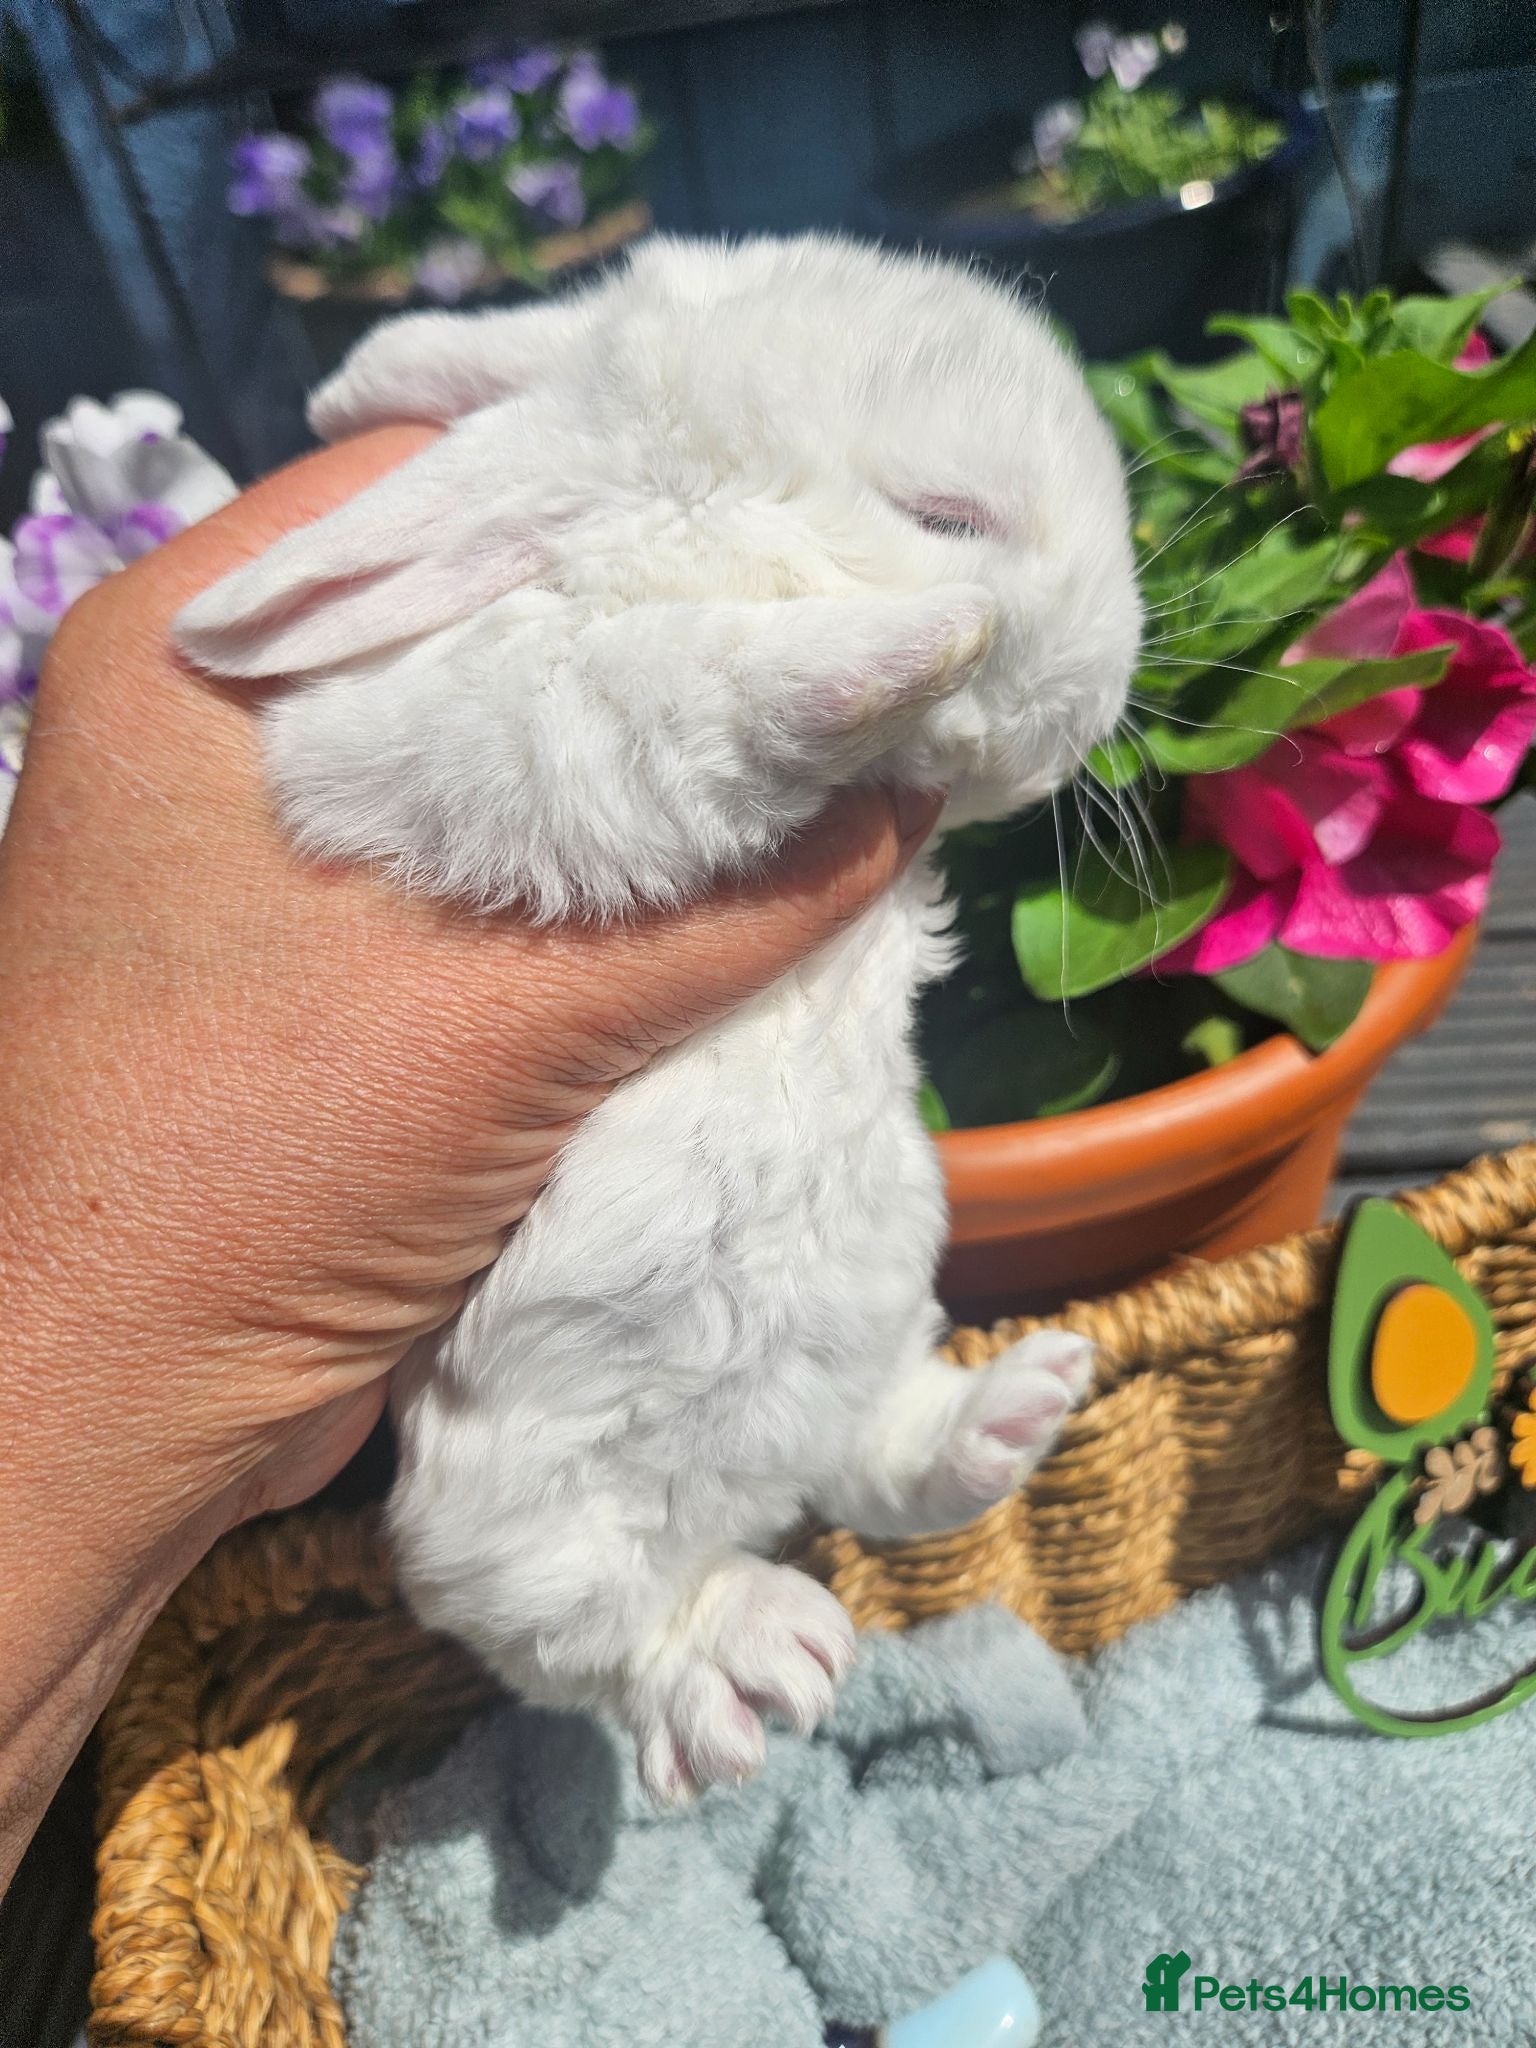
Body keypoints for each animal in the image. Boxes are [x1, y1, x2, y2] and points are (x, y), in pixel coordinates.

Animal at [176, 234, 1140, 1802]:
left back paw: (1017, 1408)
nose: (1106, 690)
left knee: (878, 1463)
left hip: (881, 1307)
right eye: (947, 513)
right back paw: (762, 1666)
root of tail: (742, 1491)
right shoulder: (518, 725)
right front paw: (912, 644)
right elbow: (700, 690)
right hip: (519, 1519)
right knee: (583, 1637)